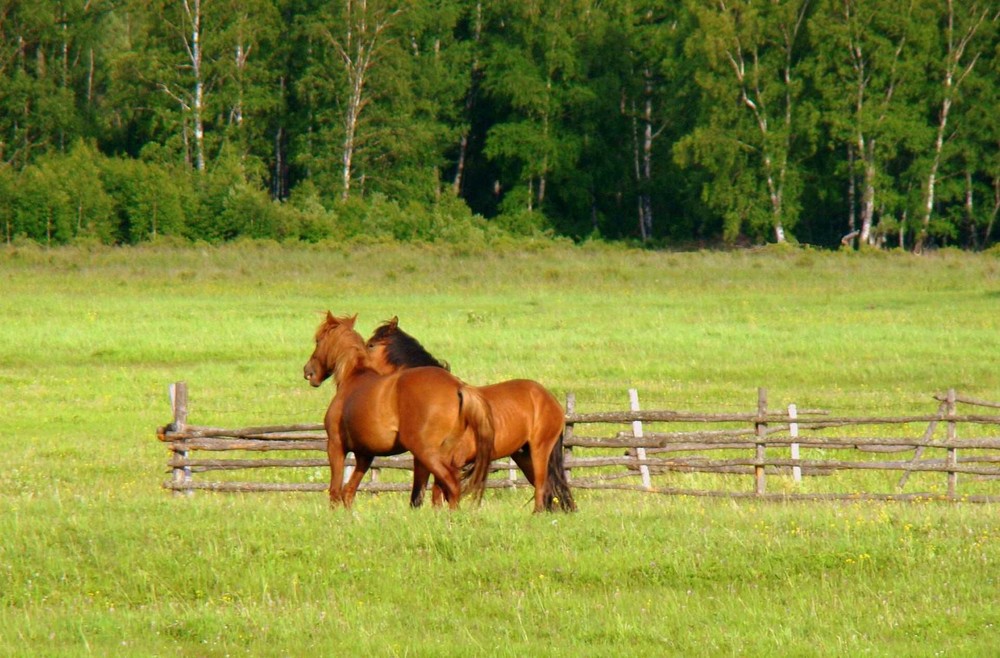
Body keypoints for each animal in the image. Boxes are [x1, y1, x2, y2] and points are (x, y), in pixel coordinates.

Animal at [302, 312, 494, 508]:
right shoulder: (365, 454)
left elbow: (335, 492)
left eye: (318, 340)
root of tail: (458, 387)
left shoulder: (335, 446)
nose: (308, 372)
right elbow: (348, 492)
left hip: (428, 453)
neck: (354, 376)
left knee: (452, 486)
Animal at [368, 316, 576, 510]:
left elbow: (440, 494)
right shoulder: (423, 461)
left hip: (540, 450)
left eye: (370, 345)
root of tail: (549, 398)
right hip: (524, 455)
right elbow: (420, 498)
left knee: (541, 486)